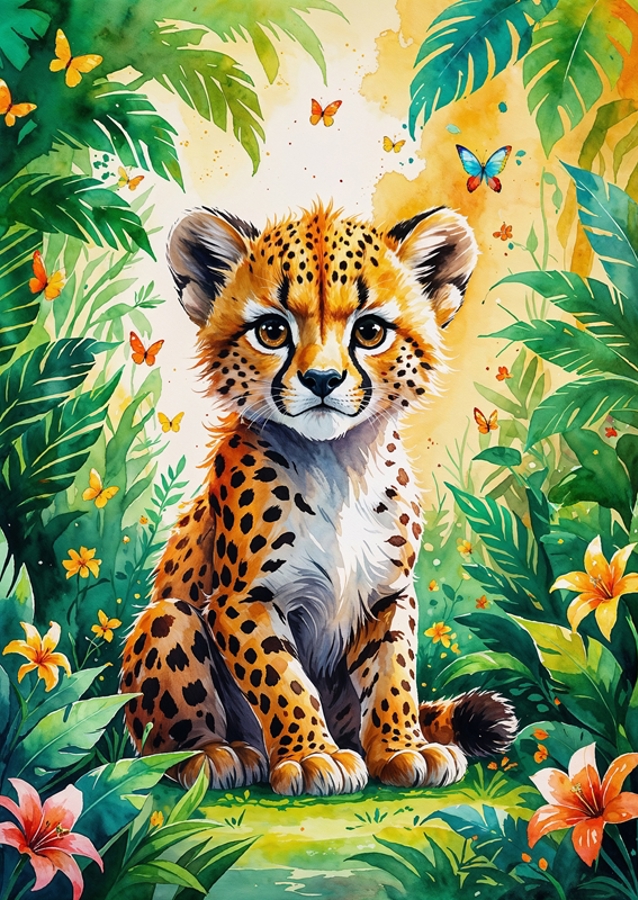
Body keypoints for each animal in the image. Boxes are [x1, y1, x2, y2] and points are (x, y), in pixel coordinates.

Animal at [119, 201, 517, 796]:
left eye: (370, 331)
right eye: (271, 330)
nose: (322, 379)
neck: (338, 466)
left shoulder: (388, 596)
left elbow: (394, 673)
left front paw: (401, 748)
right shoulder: (244, 601)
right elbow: (281, 677)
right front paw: (312, 756)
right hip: (167, 617)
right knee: (160, 732)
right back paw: (211, 754)